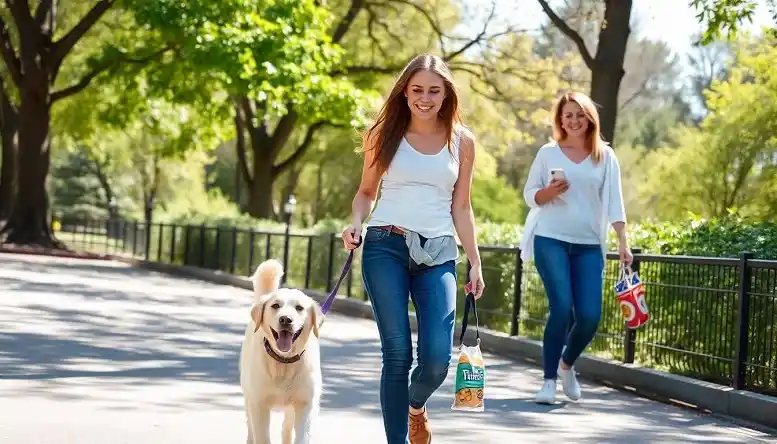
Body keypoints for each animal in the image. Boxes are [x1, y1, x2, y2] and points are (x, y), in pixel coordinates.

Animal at [236, 258, 322, 444]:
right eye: (275, 305)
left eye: (299, 308)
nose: (286, 319)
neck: (283, 362)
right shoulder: (259, 404)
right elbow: (261, 436)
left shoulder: (305, 405)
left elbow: (302, 436)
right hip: (248, 396)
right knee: (250, 427)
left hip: (291, 409)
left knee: (286, 429)